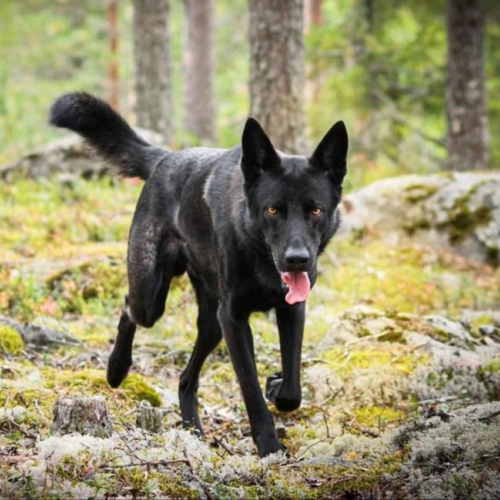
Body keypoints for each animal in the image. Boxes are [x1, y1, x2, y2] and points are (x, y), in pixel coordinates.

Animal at [49, 93, 348, 458]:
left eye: (316, 210)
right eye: (272, 209)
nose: (297, 260)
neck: (257, 253)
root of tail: (165, 158)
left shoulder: (291, 310)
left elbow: (292, 389)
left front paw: (276, 386)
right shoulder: (234, 320)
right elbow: (250, 391)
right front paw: (269, 448)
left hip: (211, 326)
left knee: (184, 379)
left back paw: (192, 429)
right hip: (154, 299)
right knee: (130, 307)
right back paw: (117, 368)